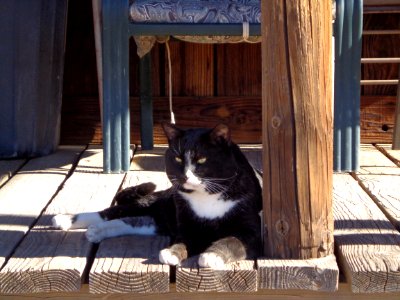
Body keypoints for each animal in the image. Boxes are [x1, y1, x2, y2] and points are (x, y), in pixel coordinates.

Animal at [52, 123, 262, 268]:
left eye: (202, 159)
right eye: (177, 158)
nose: (185, 175)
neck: (208, 198)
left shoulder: (251, 232)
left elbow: (230, 241)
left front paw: (212, 255)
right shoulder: (187, 227)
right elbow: (183, 241)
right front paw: (172, 252)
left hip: (161, 220)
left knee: (132, 221)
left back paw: (97, 231)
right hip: (162, 203)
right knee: (114, 211)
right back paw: (65, 220)